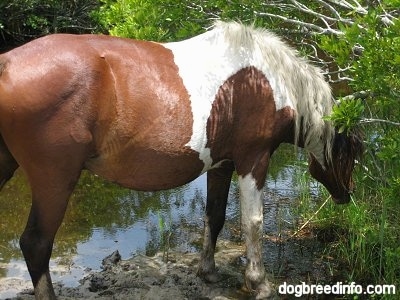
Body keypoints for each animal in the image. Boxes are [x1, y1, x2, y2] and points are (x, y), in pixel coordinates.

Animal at [0, 22, 362, 298]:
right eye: (353, 151)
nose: (346, 195)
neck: (267, 82)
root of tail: (6, 65)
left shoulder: (222, 164)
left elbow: (214, 215)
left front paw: (208, 271)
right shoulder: (253, 159)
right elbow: (252, 222)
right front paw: (258, 283)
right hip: (55, 179)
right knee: (36, 244)